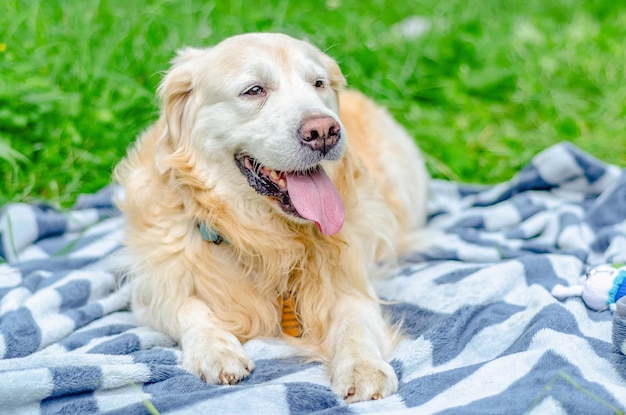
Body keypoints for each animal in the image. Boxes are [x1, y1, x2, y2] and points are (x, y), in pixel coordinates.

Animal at [113, 32, 428, 404]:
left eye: (318, 83)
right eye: (254, 90)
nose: (325, 131)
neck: (260, 233)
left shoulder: (352, 283)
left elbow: (355, 322)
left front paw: (363, 367)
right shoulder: (149, 292)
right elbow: (187, 306)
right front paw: (216, 350)